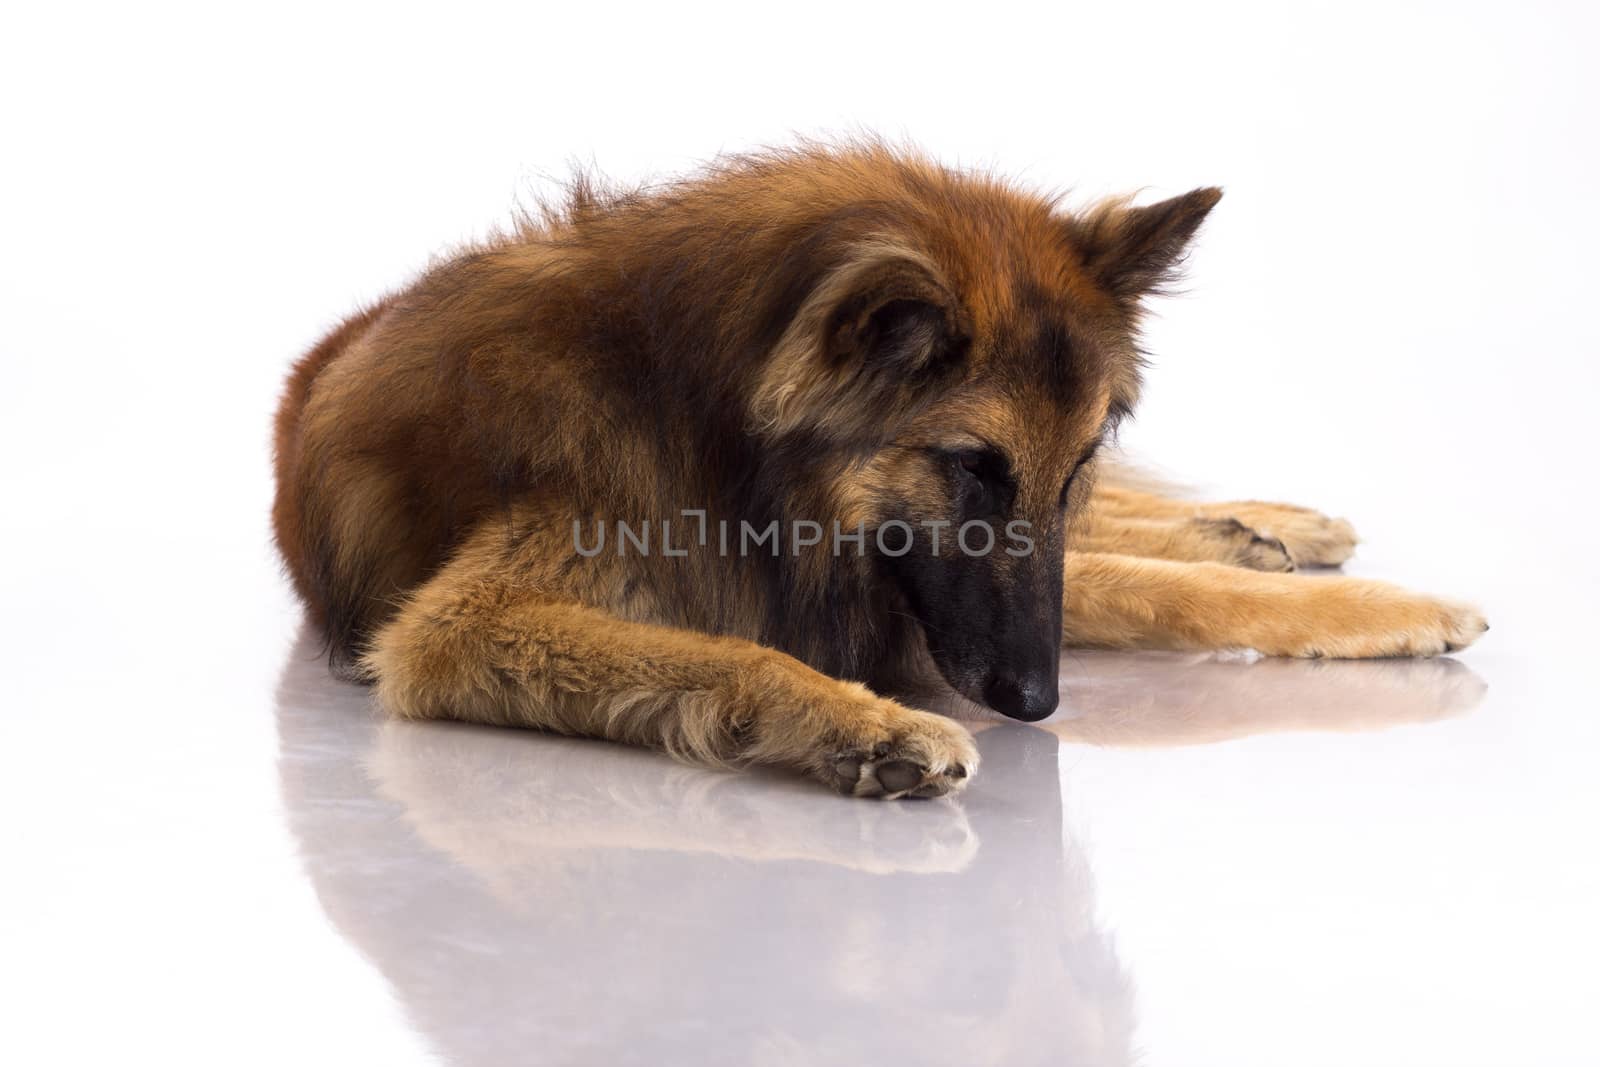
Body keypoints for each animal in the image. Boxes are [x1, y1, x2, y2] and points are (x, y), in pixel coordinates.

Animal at [272, 141, 1484, 796]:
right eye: (970, 467)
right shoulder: (457, 627)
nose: (1038, 703)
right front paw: (869, 727)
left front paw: (1382, 603)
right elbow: (732, 653)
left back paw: (1276, 526)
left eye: (1075, 462)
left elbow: (1149, 577)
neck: (710, 421)